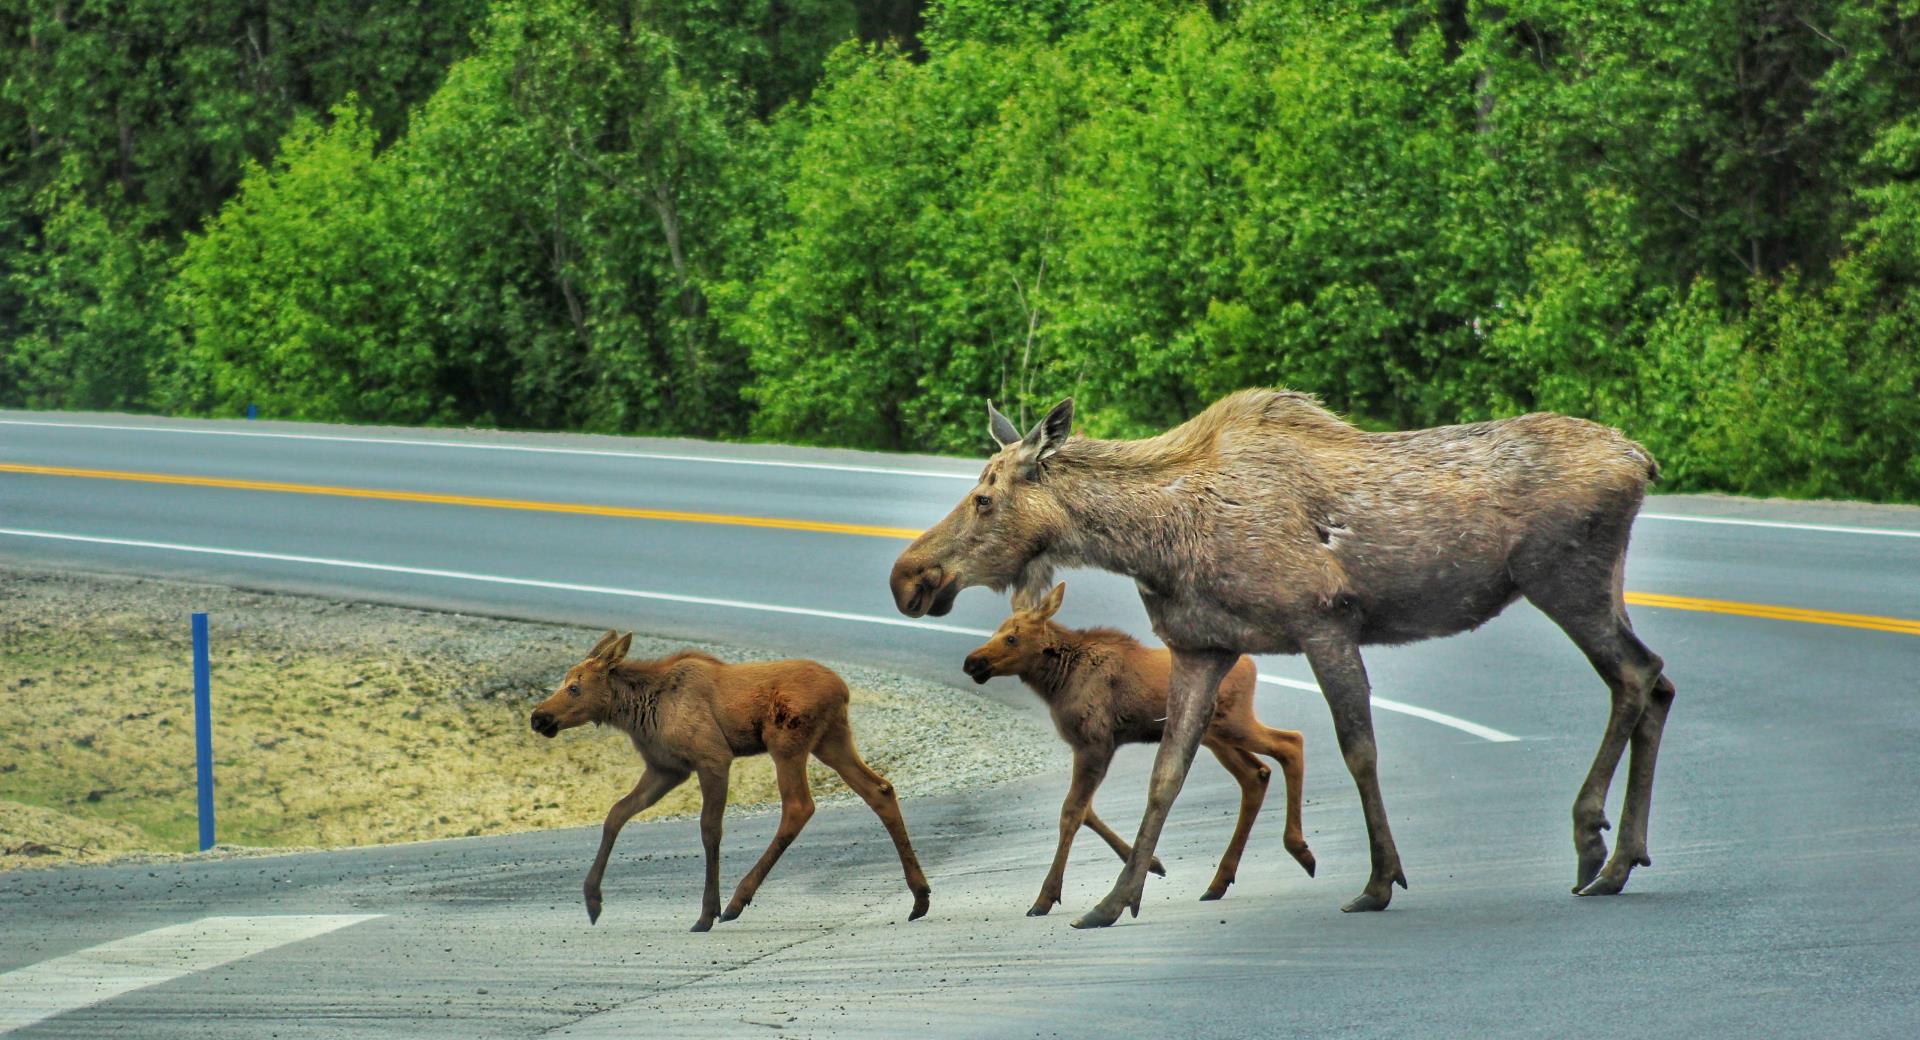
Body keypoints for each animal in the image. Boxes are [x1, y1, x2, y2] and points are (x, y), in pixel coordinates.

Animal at [529, 633, 933, 932]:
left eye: (575, 687)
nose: (538, 717)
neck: (640, 712)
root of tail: (844, 689)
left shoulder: (712, 758)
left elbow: (710, 829)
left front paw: (706, 912)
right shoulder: (666, 769)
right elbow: (616, 813)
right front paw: (592, 900)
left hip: (786, 741)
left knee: (798, 806)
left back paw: (737, 901)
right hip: (832, 740)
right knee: (880, 790)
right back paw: (920, 897)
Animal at [967, 587, 1313, 921]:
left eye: (1012, 637)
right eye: (996, 631)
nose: (972, 662)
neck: (1057, 682)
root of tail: (1252, 665)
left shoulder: (1095, 743)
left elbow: (1071, 812)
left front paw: (1044, 899)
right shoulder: (1092, 747)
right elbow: (1086, 809)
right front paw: (1154, 864)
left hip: (1233, 724)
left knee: (1290, 742)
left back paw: (1299, 850)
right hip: (1215, 737)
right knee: (1257, 774)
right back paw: (1219, 881)